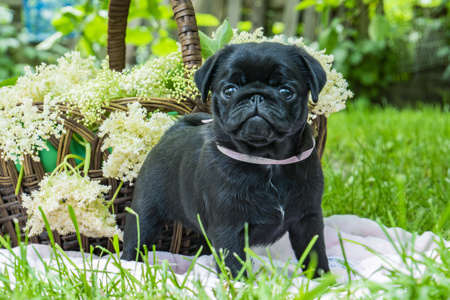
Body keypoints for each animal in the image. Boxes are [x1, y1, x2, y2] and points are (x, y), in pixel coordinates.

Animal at [123, 41, 330, 276]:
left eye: (286, 92)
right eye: (229, 91)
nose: (256, 96)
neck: (268, 160)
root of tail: (176, 128)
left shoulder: (308, 220)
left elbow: (315, 254)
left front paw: (322, 279)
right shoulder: (228, 227)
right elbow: (234, 264)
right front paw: (238, 282)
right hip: (145, 212)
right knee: (136, 238)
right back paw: (129, 265)